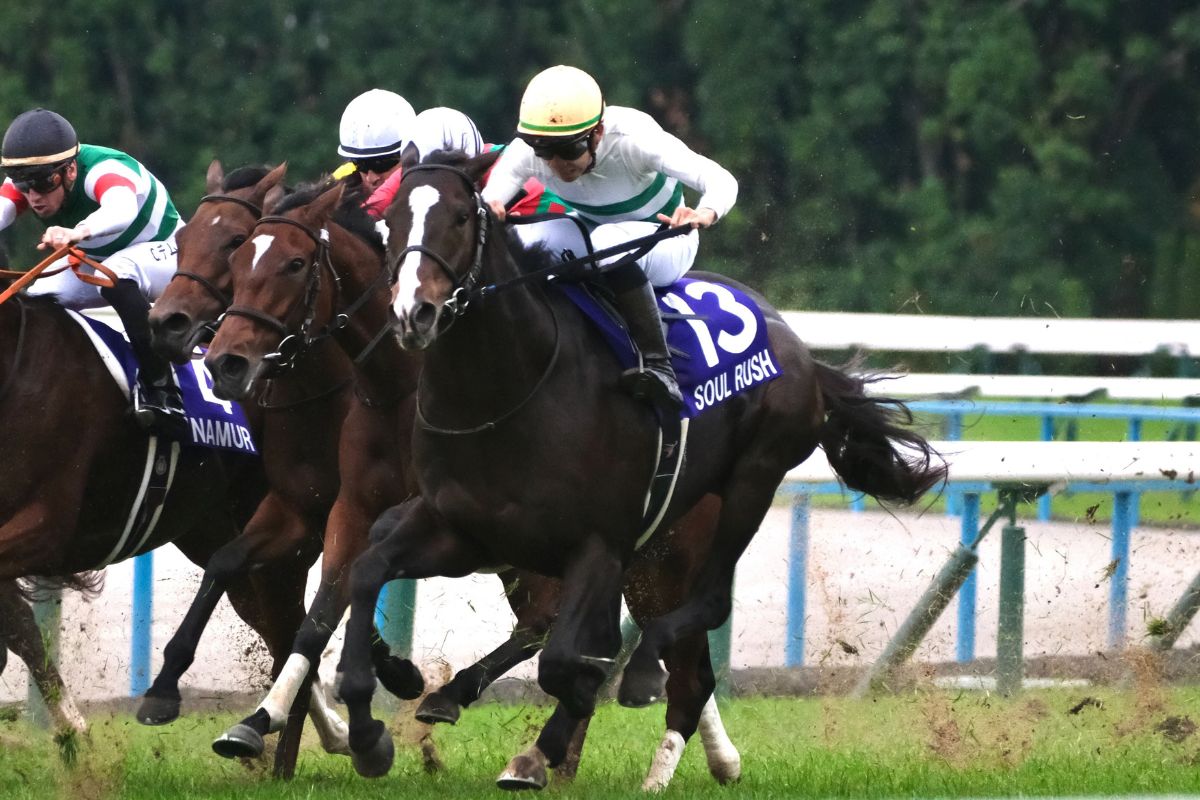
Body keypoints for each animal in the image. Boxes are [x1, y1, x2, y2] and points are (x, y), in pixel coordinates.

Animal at [200, 179, 748, 790]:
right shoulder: (344, 508)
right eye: (239, 260)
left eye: (294, 264)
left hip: (666, 555)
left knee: (660, 656)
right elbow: (313, 612)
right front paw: (258, 721)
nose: (225, 360)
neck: (395, 383)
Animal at [325, 150, 945, 784]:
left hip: (750, 480)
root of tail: (801, 349)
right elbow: (366, 571)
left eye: (457, 218)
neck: (508, 392)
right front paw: (371, 731)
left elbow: (564, 661)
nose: (413, 313)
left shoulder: (599, 544)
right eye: (390, 224)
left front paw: (548, 733)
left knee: (704, 609)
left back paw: (643, 685)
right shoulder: (464, 530)